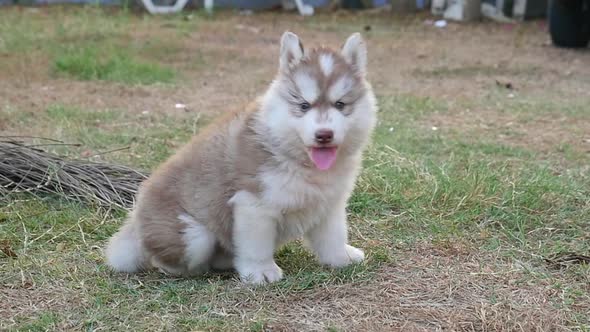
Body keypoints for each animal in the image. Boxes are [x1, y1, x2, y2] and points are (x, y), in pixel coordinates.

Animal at [106, 32, 380, 284]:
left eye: (340, 104)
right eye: (303, 106)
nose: (324, 135)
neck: (299, 160)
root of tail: (135, 219)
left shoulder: (329, 204)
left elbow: (333, 237)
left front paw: (342, 257)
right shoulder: (253, 204)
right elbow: (256, 246)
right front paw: (261, 272)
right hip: (194, 235)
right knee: (168, 259)